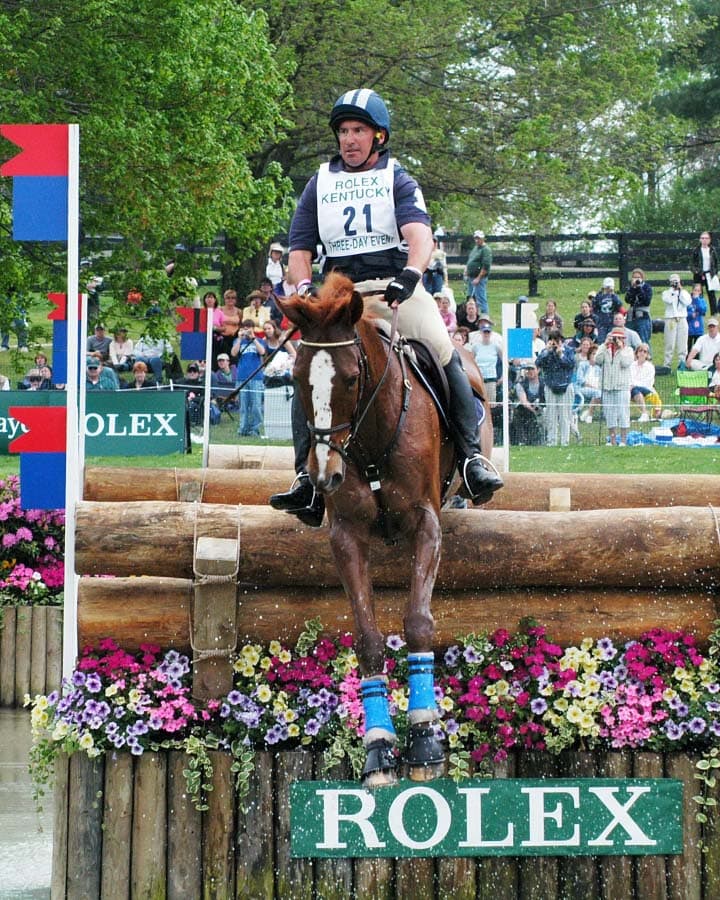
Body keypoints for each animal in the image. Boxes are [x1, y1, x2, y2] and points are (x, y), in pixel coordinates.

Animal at [278, 270, 492, 784]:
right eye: (296, 379)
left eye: (352, 379)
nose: (323, 476)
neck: (372, 437)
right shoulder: (346, 536)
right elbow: (370, 639)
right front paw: (379, 749)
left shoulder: (427, 524)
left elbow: (417, 622)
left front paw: (425, 742)